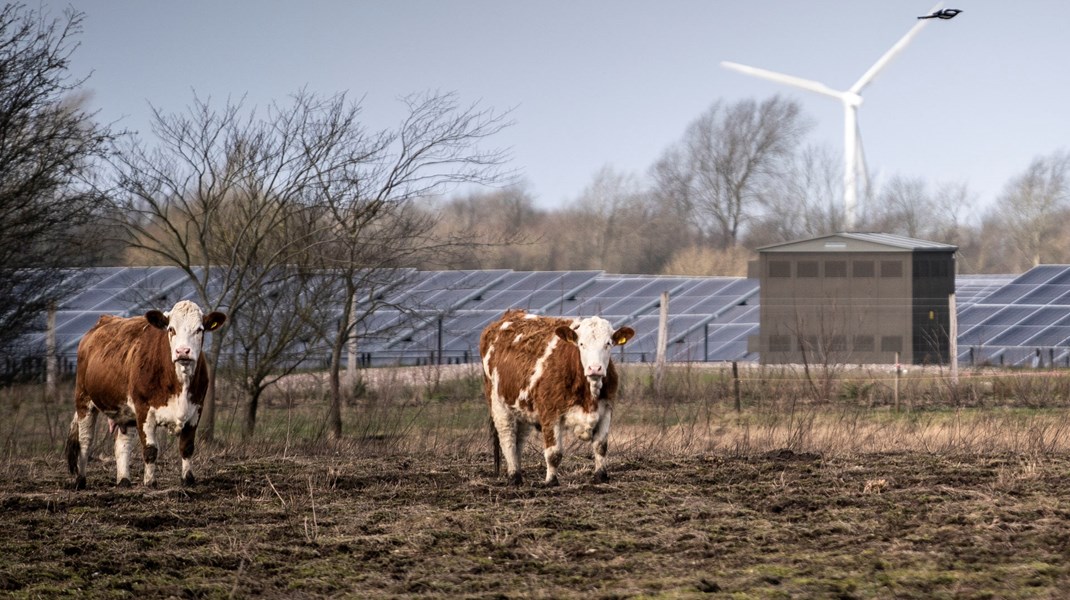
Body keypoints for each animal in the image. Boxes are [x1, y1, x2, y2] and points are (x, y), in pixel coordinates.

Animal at [63, 297, 226, 489]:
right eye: (171, 329)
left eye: (199, 329)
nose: (183, 351)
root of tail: (103, 320)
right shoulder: (143, 409)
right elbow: (150, 449)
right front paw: (150, 482)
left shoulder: (196, 409)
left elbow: (186, 446)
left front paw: (187, 479)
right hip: (84, 399)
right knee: (85, 440)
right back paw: (80, 480)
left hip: (125, 411)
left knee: (122, 444)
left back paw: (124, 480)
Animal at [479, 308, 633, 487]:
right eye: (581, 344)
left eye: (608, 343)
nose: (595, 368)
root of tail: (512, 314)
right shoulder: (549, 413)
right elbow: (554, 453)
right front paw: (551, 481)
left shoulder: (606, 410)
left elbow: (601, 446)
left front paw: (600, 476)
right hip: (498, 404)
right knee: (507, 438)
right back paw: (514, 476)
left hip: (521, 408)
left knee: (519, 440)